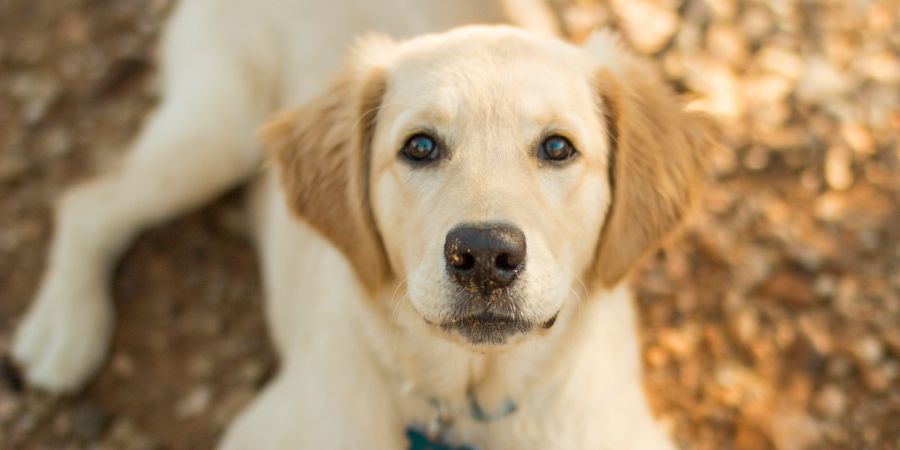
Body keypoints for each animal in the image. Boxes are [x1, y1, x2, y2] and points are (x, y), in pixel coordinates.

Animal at [5, 1, 712, 448]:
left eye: (559, 147)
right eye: (420, 146)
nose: (485, 254)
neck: (468, 405)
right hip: (218, 129)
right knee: (88, 201)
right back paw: (64, 328)